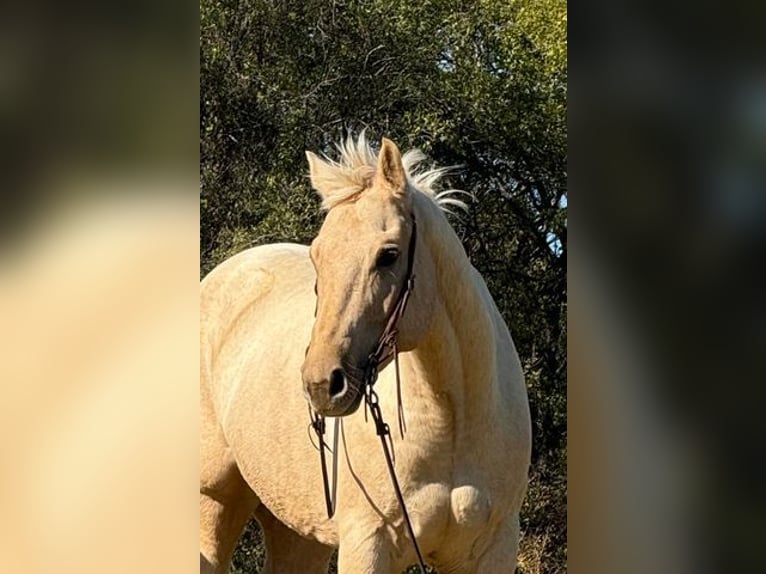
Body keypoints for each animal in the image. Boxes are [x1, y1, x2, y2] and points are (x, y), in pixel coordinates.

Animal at [201, 136, 532, 574]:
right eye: (318, 257)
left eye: (389, 255)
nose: (322, 384)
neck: (454, 421)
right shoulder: (368, 544)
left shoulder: (493, 550)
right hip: (216, 502)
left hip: (297, 533)